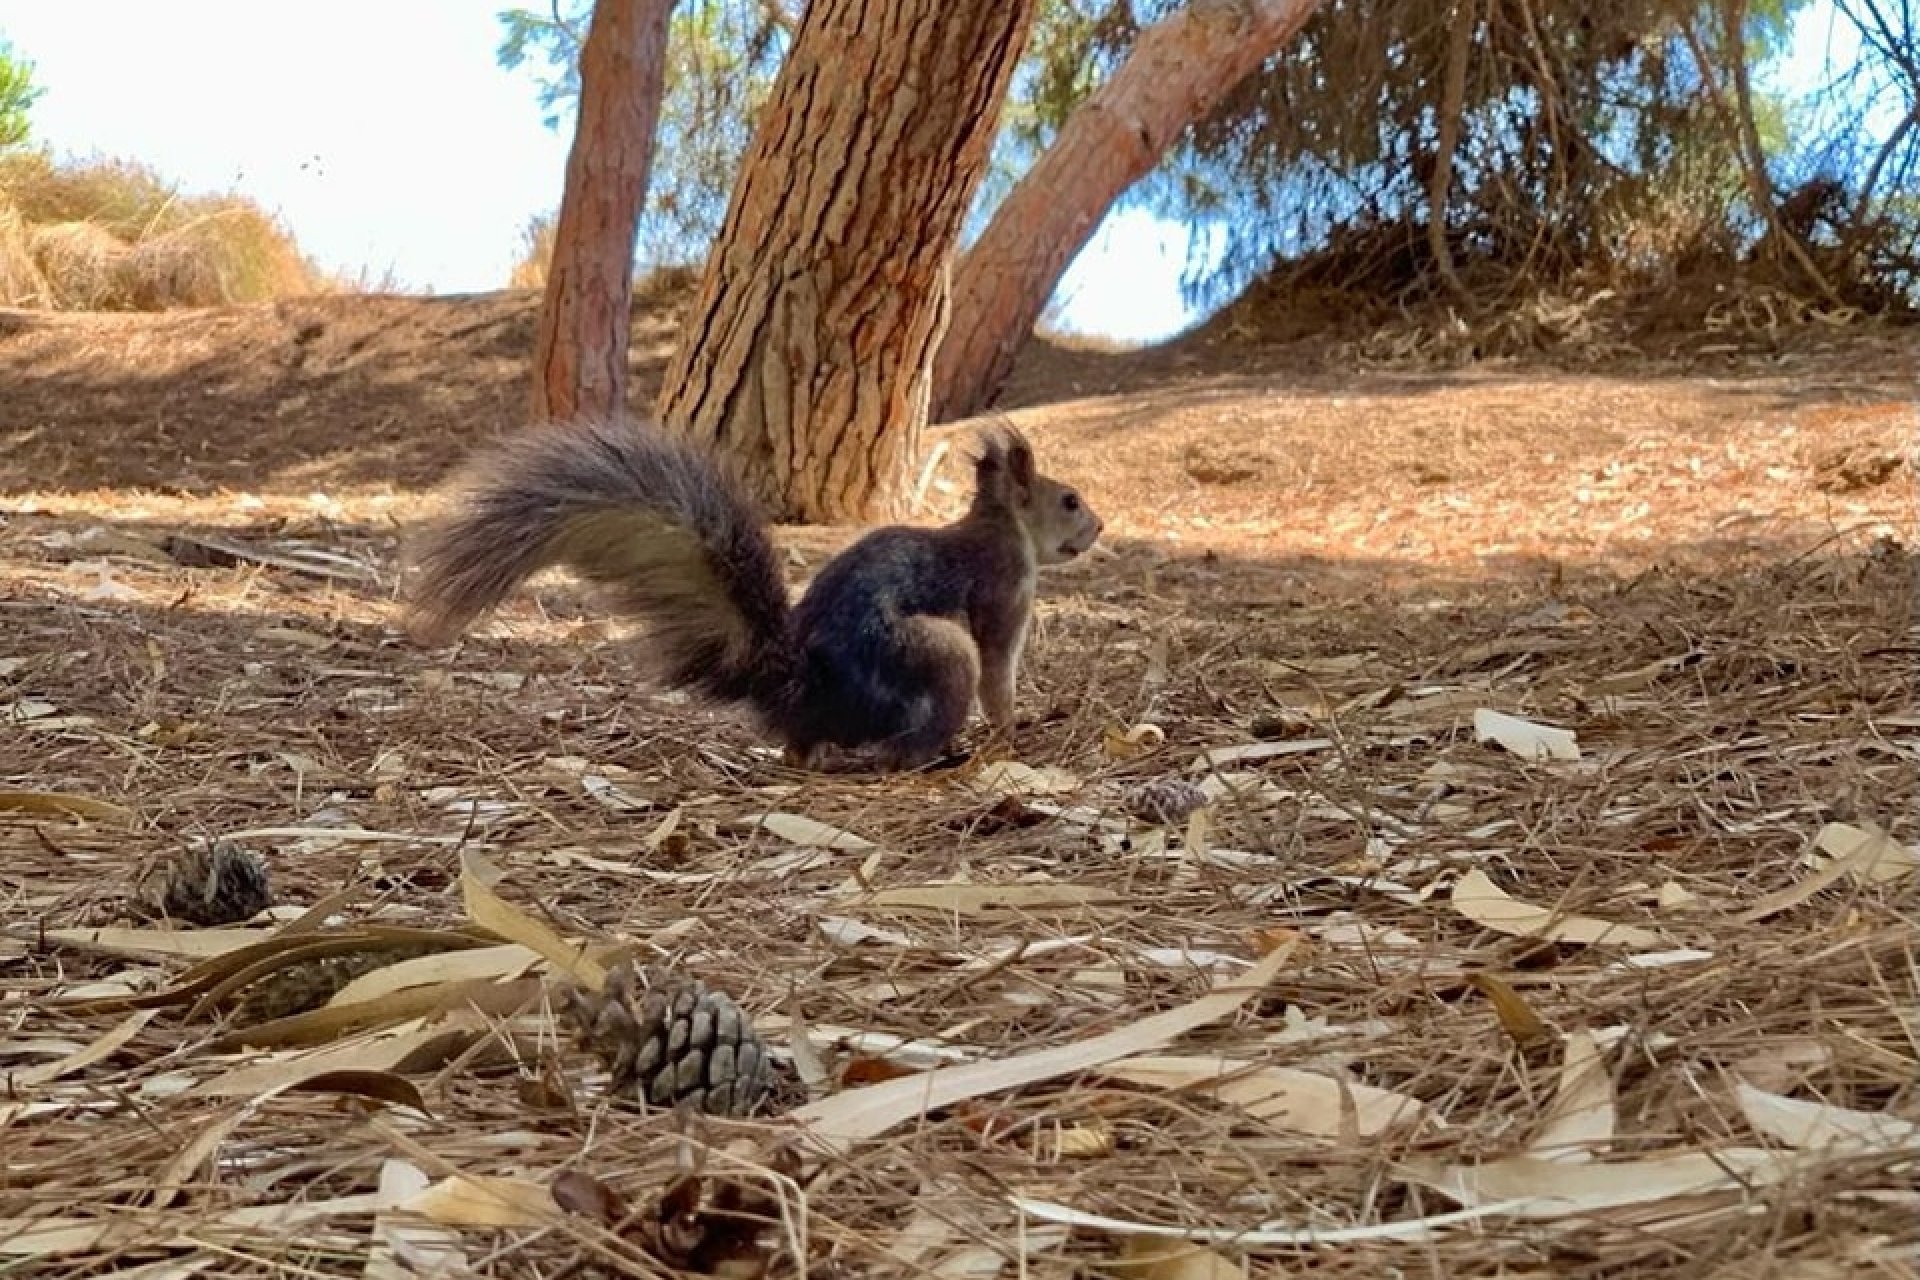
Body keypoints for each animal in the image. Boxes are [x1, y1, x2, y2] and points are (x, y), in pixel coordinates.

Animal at [405, 418, 1105, 771]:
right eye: (1069, 500)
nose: (1098, 528)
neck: (1001, 526)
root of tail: (808, 692)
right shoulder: (1003, 593)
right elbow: (999, 674)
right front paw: (1013, 731)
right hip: (935, 651)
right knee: (900, 747)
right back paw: (936, 758)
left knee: (805, 751)